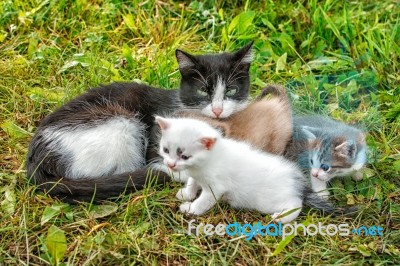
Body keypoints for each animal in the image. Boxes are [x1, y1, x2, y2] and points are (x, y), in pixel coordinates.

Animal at [155, 116, 308, 222]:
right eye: (166, 150)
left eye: (185, 157)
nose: (170, 164)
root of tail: (294, 175)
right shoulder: (196, 173)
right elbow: (192, 181)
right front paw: (187, 194)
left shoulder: (215, 188)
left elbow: (203, 202)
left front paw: (190, 209)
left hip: (269, 201)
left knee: (296, 204)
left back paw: (282, 217)